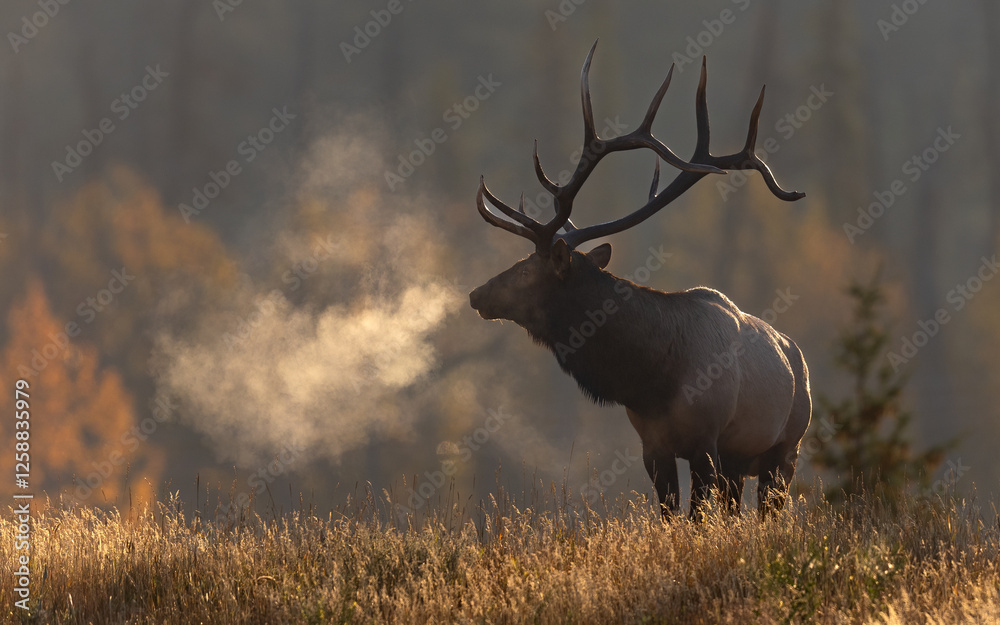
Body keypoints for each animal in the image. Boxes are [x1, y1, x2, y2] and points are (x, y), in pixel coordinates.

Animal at [469, 42, 812, 518]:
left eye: (523, 270)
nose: (475, 294)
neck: (653, 379)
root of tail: (798, 356)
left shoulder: (706, 441)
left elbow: (697, 519)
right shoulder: (654, 445)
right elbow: (669, 515)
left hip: (786, 449)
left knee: (766, 510)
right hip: (740, 462)